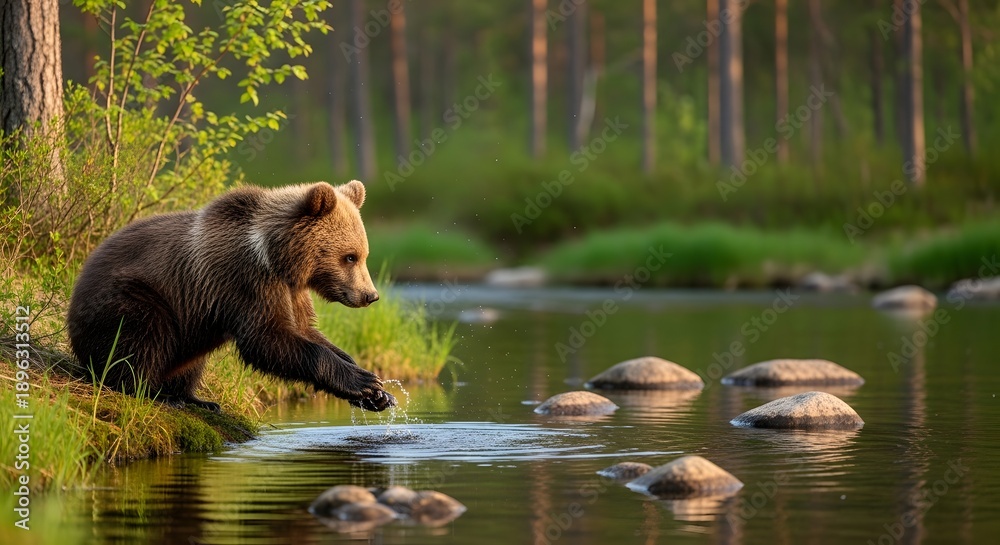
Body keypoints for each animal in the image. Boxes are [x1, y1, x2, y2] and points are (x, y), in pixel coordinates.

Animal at [66, 180, 395, 412]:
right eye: (350, 257)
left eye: (363, 255)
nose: (370, 295)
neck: (276, 258)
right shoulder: (245, 281)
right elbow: (268, 339)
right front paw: (365, 383)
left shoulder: (290, 291)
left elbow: (306, 331)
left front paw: (378, 391)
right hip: (135, 296)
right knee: (139, 338)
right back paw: (154, 392)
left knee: (190, 364)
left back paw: (197, 399)